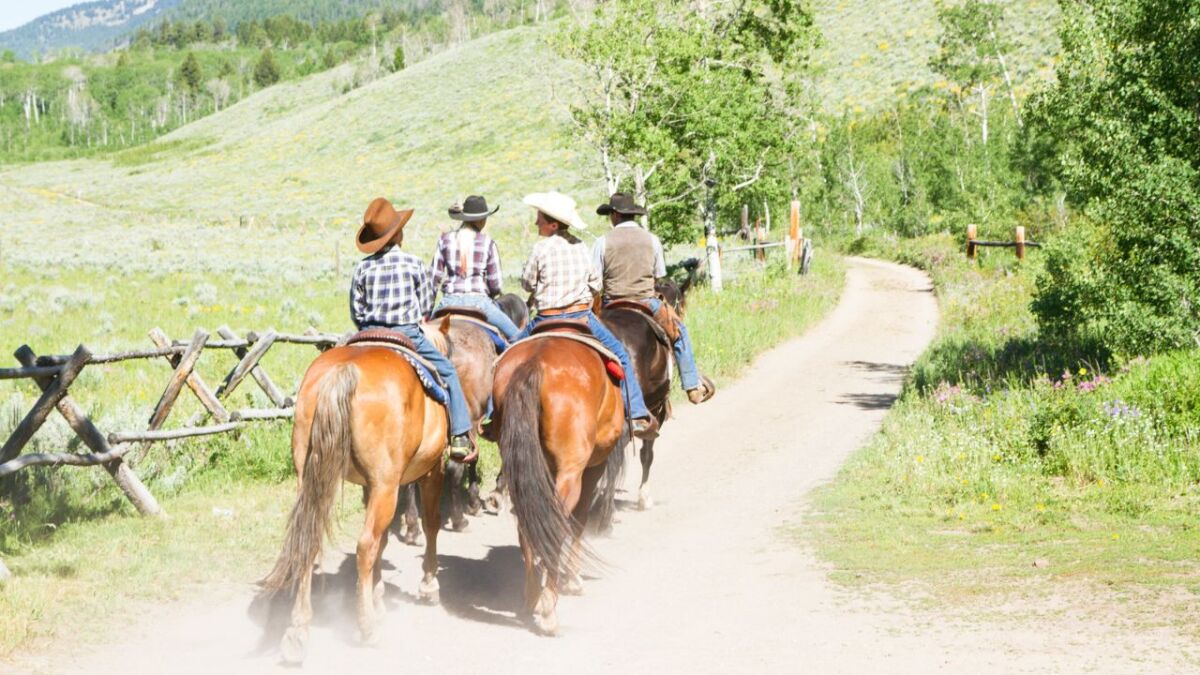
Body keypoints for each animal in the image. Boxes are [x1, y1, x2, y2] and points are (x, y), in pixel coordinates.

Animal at [258, 326, 451, 662]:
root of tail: (343, 371)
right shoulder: (430, 472)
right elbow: (430, 524)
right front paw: (428, 585)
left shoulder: (370, 485)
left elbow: (385, 539)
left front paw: (378, 596)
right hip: (386, 485)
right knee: (365, 546)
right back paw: (367, 628)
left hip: (311, 477)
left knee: (310, 541)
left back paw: (298, 631)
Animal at [492, 329, 633, 634]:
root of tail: (533, 364)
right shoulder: (593, 467)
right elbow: (578, 520)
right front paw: (573, 579)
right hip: (570, 472)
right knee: (555, 521)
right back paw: (549, 608)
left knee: (529, 523)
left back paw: (532, 595)